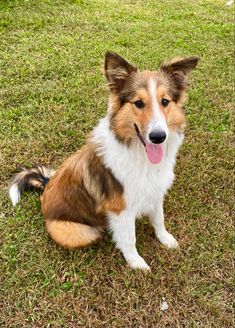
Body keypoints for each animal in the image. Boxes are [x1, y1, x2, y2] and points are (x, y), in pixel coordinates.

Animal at [9, 51, 200, 270]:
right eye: (138, 103)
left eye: (165, 101)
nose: (158, 137)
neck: (139, 154)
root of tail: (46, 187)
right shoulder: (121, 210)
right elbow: (129, 239)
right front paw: (136, 263)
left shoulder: (155, 192)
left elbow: (159, 219)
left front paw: (166, 240)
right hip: (81, 231)